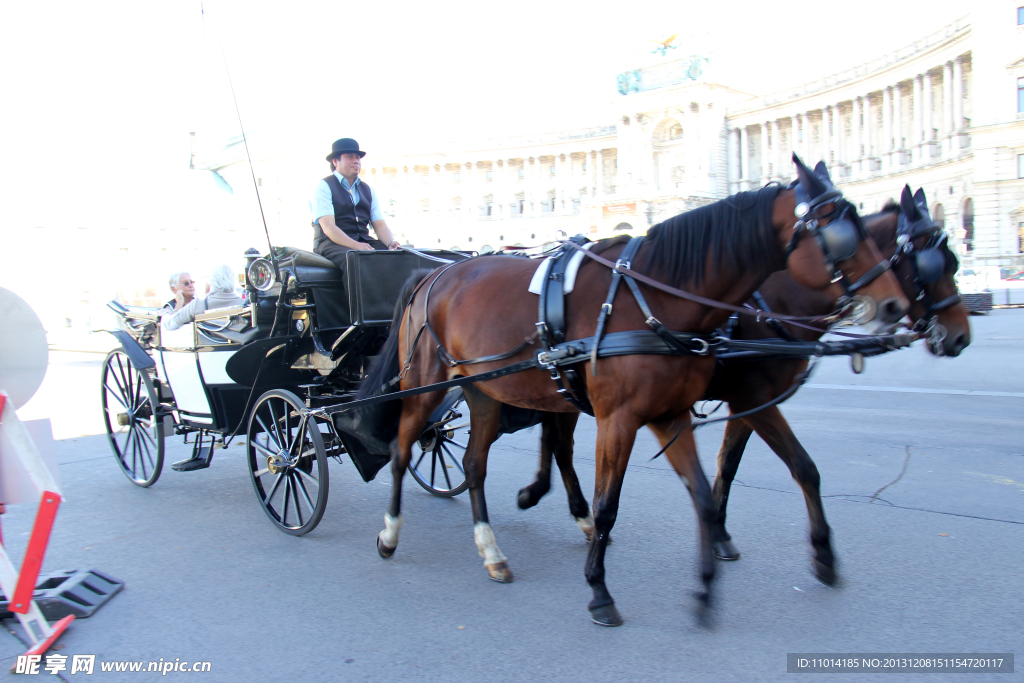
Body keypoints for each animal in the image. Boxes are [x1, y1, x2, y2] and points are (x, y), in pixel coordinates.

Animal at [358, 154, 905, 626]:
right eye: (841, 232)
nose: (895, 305)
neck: (655, 298)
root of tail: (436, 270)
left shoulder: (672, 414)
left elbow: (707, 495)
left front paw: (706, 591)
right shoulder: (621, 418)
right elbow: (608, 506)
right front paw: (600, 591)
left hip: (486, 393)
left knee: (474, 465)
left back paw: (492, 552)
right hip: (426, 386)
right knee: (403, 448)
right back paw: (388, 534)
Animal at [516, 185, 970, 589]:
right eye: (934, 264)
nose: (961, 337)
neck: (772, 302)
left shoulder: (747, 402)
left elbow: (733, 465)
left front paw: (719, 533)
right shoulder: (754, 398)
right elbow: (787, 466)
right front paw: (812, 552)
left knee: (554, 437)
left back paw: (548, 497)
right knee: (559, 442)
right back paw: (563, 506)